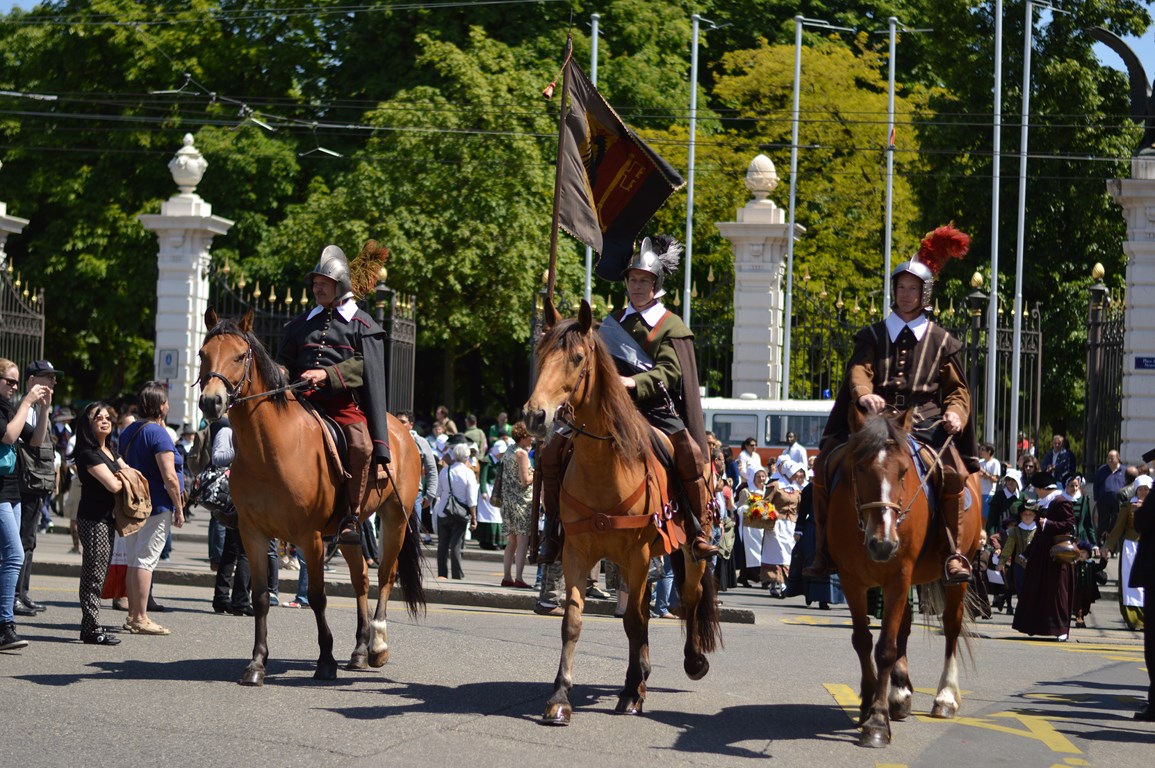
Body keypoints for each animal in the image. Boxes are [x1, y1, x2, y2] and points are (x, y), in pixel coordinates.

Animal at [197, 308, 425, 686]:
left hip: (394, 518)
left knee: (385, 575)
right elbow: (261, 597)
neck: (268, 449)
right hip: (351, 529)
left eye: (240, 356)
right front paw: (256, 663)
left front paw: (326, 660)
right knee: (361, 578)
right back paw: (359, 650)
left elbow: (318, 597)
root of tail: (403, 432)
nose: (210, 401)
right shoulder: (253, 533)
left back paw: (377, 645)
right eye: (202, 354)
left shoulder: (311, 536)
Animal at [523, 300, 721, 725]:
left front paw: (631, 693)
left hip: (688, 550)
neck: (604, 466)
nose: (535, 416)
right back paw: (642, 675)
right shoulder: (577, 553)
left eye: (578, 358)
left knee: (691, 597)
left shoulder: (637, 554)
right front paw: (560, 696)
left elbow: (633, 621)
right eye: (541, 353)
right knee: (646, 609)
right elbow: (574, 620)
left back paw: (691, 661)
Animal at [825, 410, 982, 748]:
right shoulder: (851, 580)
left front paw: (876, 722)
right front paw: (870, 702)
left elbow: (885, 647)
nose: (883, 544)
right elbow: (863, 640)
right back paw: (899, 694)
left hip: (958, 572)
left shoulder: (898, 576)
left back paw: (945, 697)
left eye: (903, 471)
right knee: (905, 628)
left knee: (951, 625)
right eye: (859, 467)